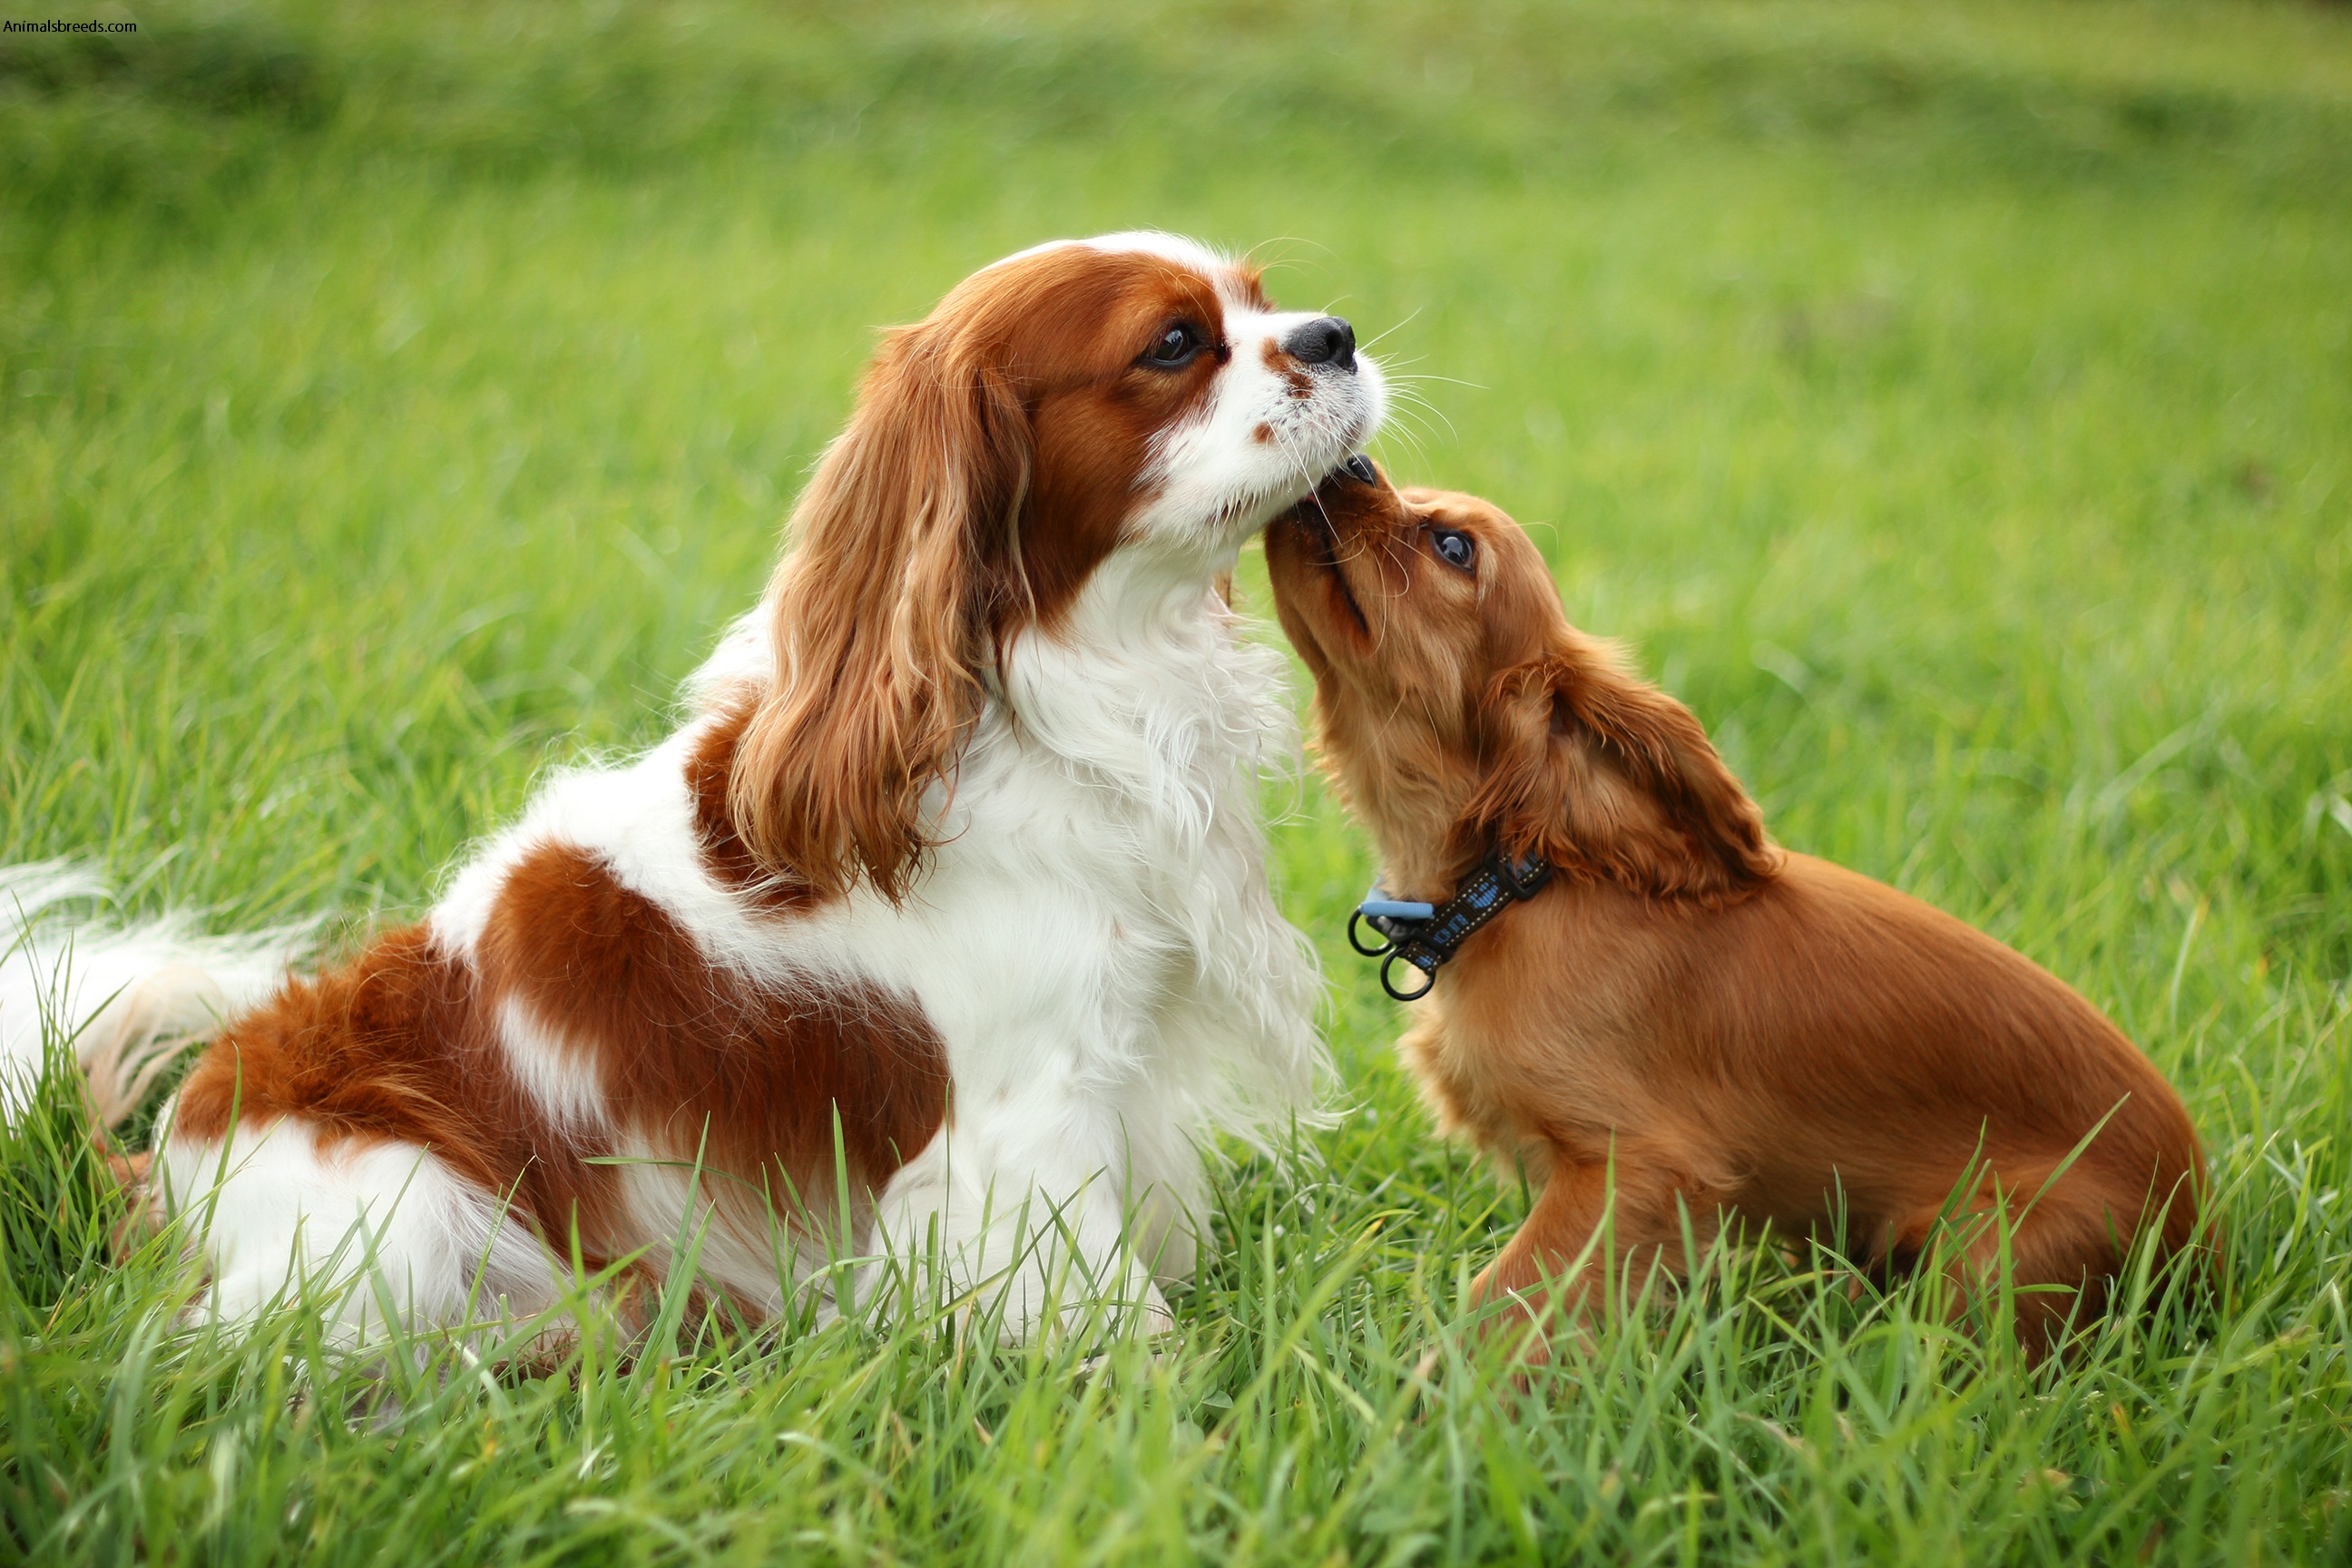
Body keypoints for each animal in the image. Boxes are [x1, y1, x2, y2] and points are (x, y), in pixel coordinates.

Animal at [0, 232, 1383, 1335]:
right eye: (1174, 345)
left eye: (1265, 300)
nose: (1337, 333)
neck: (1050, 692)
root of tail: (163, 1174)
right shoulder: (1023, 1119)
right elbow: (1105, 1320)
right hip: (402, 1213)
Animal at [1269, 460, 2201, 1354]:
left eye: (1454, 547)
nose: (1351, 461)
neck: (1518, 885)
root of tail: (2206, 1240)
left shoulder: (1635, 1167)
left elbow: (1502, 1306)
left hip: (1995, 1250)